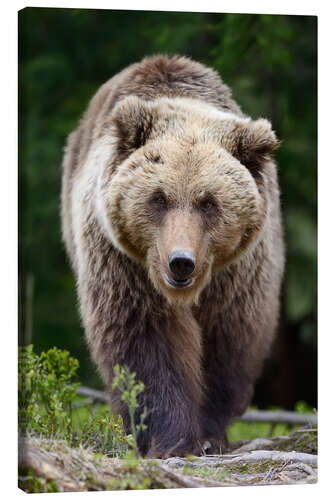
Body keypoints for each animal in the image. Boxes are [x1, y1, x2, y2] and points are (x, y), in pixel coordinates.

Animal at [60, 53, 282, 458]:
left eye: (208, 202)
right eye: (159, 198)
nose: (180, 262)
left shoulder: (239, 273)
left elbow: (227, 340)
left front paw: (209, 435)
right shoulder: (125, 263)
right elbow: (147, 341)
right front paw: (172, 438)